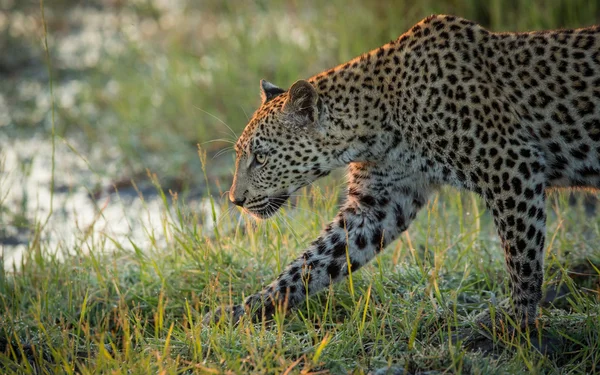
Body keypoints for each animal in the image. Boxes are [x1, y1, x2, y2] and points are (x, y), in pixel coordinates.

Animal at [203, 13, 600, 332]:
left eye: (260, 158)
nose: (235, 200)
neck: (377, 121)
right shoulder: (378, 202)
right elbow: (311, 264)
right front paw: (240, 311)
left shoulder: (510, 166)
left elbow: (522, 255)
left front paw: (517, 322)